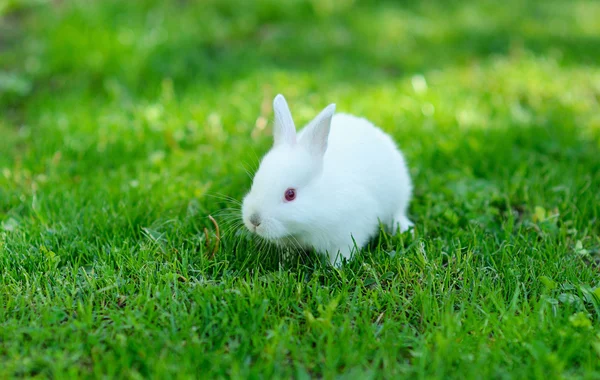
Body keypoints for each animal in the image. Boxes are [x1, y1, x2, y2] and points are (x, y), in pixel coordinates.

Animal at [239, 93, 412, 266]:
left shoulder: (348, 234)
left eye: (290, 194)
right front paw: (287, 261)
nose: (254, 220)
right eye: (255, 182)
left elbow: (342, 253)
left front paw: (336, 266)